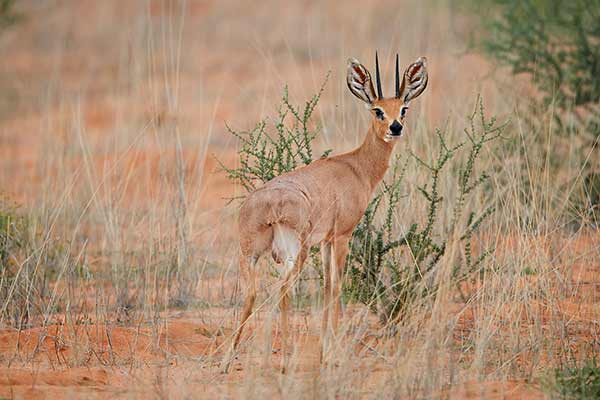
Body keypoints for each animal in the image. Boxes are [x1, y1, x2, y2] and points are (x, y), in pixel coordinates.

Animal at [223, 52, 428, 372]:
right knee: (282, 290)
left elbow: (327, 287)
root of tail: (269, 203)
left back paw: (227, 361)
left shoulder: (325, 241)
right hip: (296, 252)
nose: (396, 128)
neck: (356, 167)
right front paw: (333, 355)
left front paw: (324, 352)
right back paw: (286, 359)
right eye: (378, 110)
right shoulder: (342, 236)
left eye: (403, 108)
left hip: (252, 254)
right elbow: (336, 288)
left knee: (251, 294)